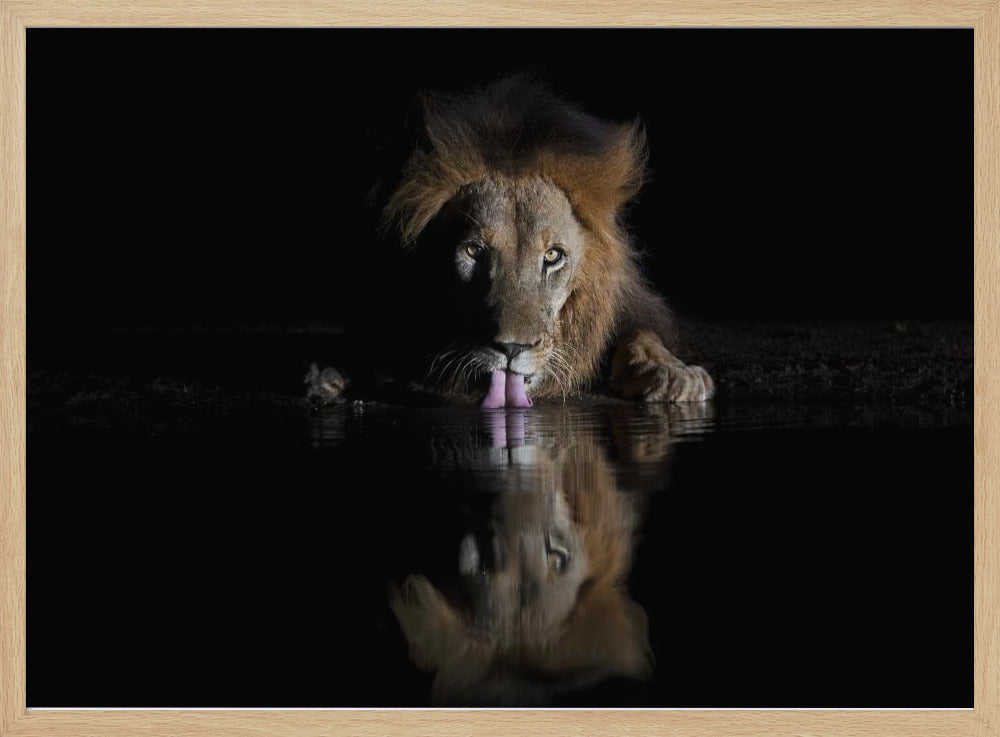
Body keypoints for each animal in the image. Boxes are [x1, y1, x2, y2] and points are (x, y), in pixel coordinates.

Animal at [310, 76, 714, 408]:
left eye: (552, 256)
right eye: (474, 251)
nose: (511, 349)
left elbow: (641, 335)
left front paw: (674, 374)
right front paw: (330, 372)